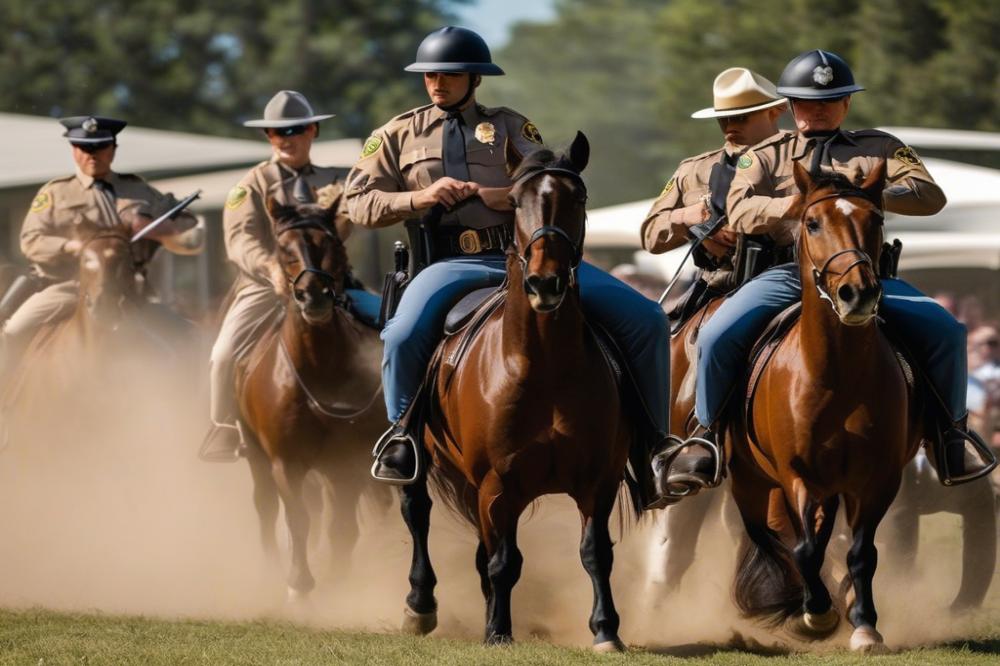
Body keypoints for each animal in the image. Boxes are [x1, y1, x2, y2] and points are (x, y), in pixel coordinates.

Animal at [237, 200, 386, 600]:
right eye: (283, 248)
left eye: (330, 243)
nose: (313, 294)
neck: (321, 370)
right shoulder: (284, 463)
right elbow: (298, 519)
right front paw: (299, 585)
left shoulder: (348, 464)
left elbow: (342, 528)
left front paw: (339, 579)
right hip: (256, 457)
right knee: (265, 507)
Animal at [394, 132, 636, 652]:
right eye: (516, 201)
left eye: (578, 198)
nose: (544, 282)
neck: (543, 367)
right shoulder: (498, 485)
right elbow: (504, 562)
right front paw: (498, 632)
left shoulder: (598, 480)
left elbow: (595, 553)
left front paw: (606, 629)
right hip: (426, 464)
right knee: (417, 510)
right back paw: (420, 606)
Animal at [728, 162, 920, 652]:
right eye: (812, 223)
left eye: (876, 219)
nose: (858, 293)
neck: (836, 375)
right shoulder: (798, 475)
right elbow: (805, 548)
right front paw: (816, 613)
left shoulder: (878, 478)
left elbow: (861, 552)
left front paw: (865, 623)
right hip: (750, 480)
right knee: (770, 537)